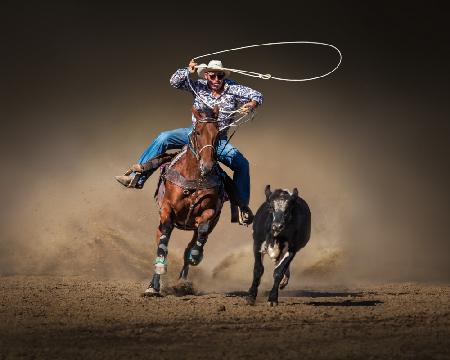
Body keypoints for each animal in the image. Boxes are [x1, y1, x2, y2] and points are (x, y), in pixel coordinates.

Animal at [145, 105, 224, 294]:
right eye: (198, 132)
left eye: (218, 133)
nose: (207, 166)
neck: (194, 179)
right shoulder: (166, 208)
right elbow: (165, 234)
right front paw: (160, 268)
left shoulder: (210, 212)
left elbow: (202, 230)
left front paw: (195, 255)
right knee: (161, 237)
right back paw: (153, 285)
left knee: (194, 243)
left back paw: (183, 279)